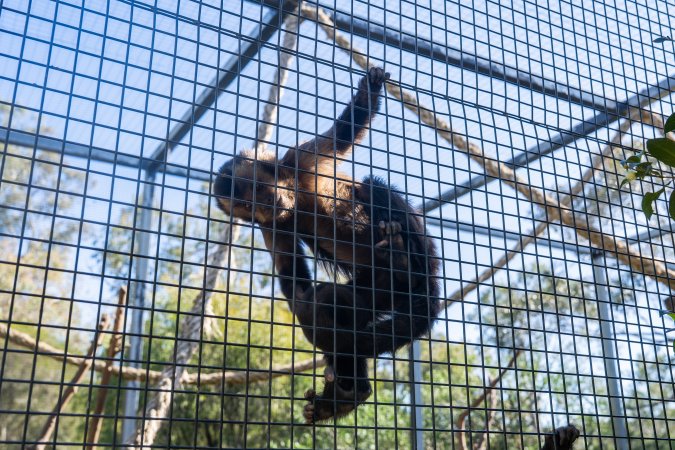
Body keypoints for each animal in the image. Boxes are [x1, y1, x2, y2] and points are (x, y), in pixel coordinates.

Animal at [213, 67, 441, 423]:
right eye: (248, 207)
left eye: (259, 190)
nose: (267, 205)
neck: (294, 199)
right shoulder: (271, 225)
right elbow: (294, 280)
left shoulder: (298, 159)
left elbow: (343, 135)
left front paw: (369, 88)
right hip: (378, 287)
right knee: (335, 304)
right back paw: (348, 393)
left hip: (419, 253)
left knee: (372, 187)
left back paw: (405, 262)